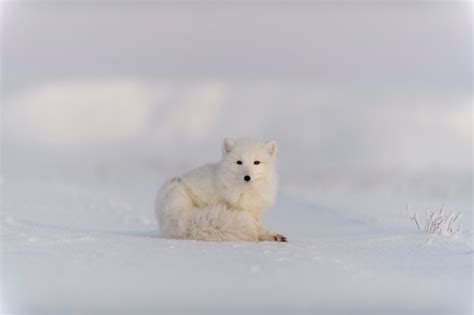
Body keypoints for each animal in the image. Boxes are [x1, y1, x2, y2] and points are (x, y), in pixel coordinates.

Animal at [156, 137, 286, 243]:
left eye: (256, 162)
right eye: (239, 162)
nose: (247, 177)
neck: (245, 191)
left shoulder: (253, 211)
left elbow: (260, 225)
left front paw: (272, 235)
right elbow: (256, 226)